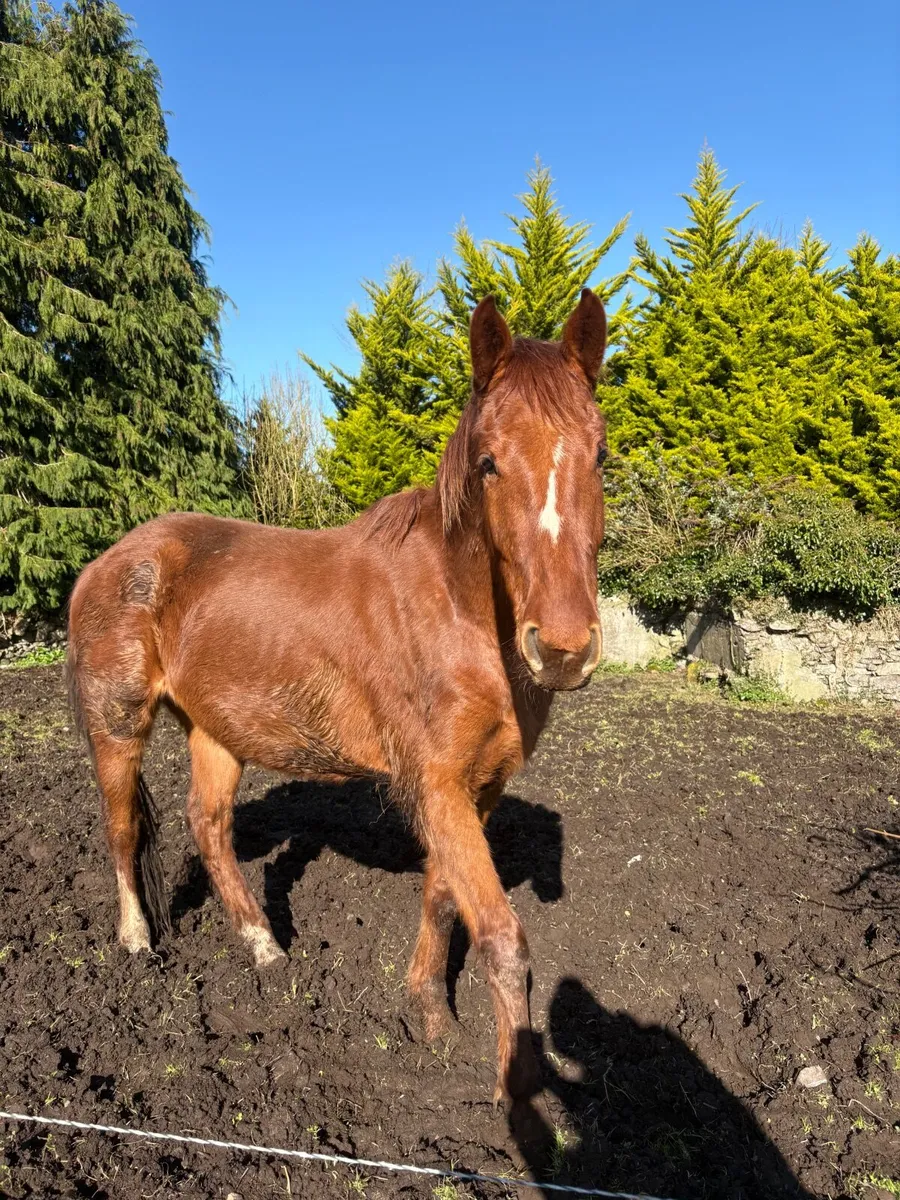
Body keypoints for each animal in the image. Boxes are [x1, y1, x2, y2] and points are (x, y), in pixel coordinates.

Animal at [66, 288, 609, 1104]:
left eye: (600, 454)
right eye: (488, 462)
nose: (564, 648)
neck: (459, 608)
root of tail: (107, 562)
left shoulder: (472, 787)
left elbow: (443, 899)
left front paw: (428, 1013)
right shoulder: (435, 782)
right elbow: (501, 937)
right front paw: (517, 1093)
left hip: (217, 729)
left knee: (208, 826)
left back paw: (264, 948)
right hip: (119, 724)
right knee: (124, 830)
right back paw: (135, 941)